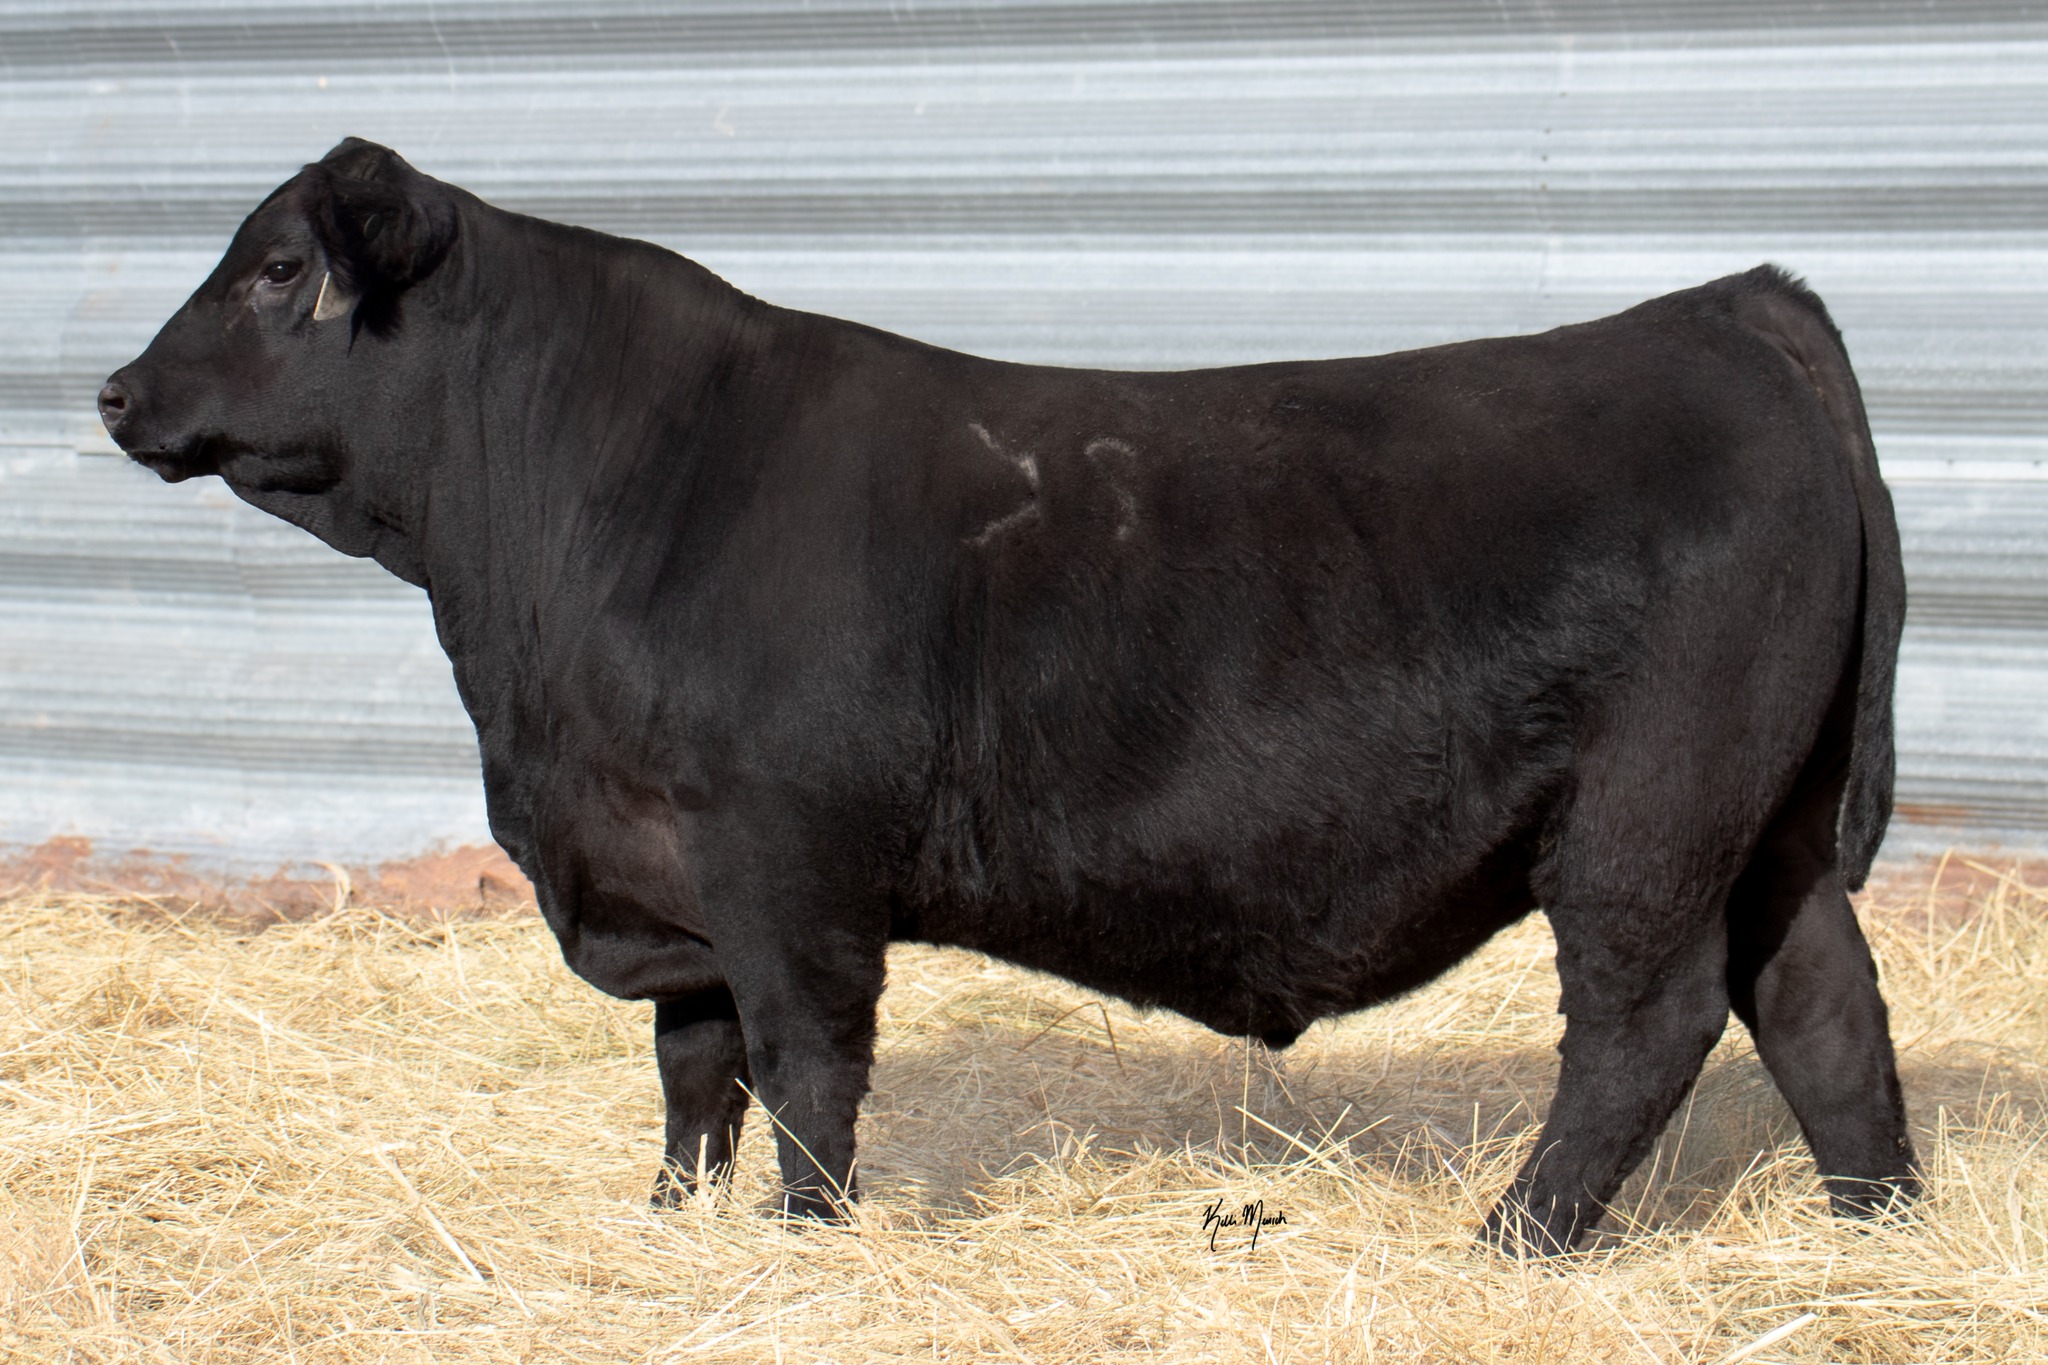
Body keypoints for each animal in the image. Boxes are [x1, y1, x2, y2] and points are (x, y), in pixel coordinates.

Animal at [99, 138, 1918, 1255]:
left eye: (279, 268)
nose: (115, 391)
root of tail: (1725, 310)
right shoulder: (660, 867)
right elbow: (695, 1076)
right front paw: (672, 1232)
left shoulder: (785, 869)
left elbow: (803, 1071)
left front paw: (802, 1247)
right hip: (1768, 827)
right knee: (1822, 1005)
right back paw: (1876, 1227)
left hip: (1644, 823)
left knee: (1646, 1026)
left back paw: (1509, 1247)